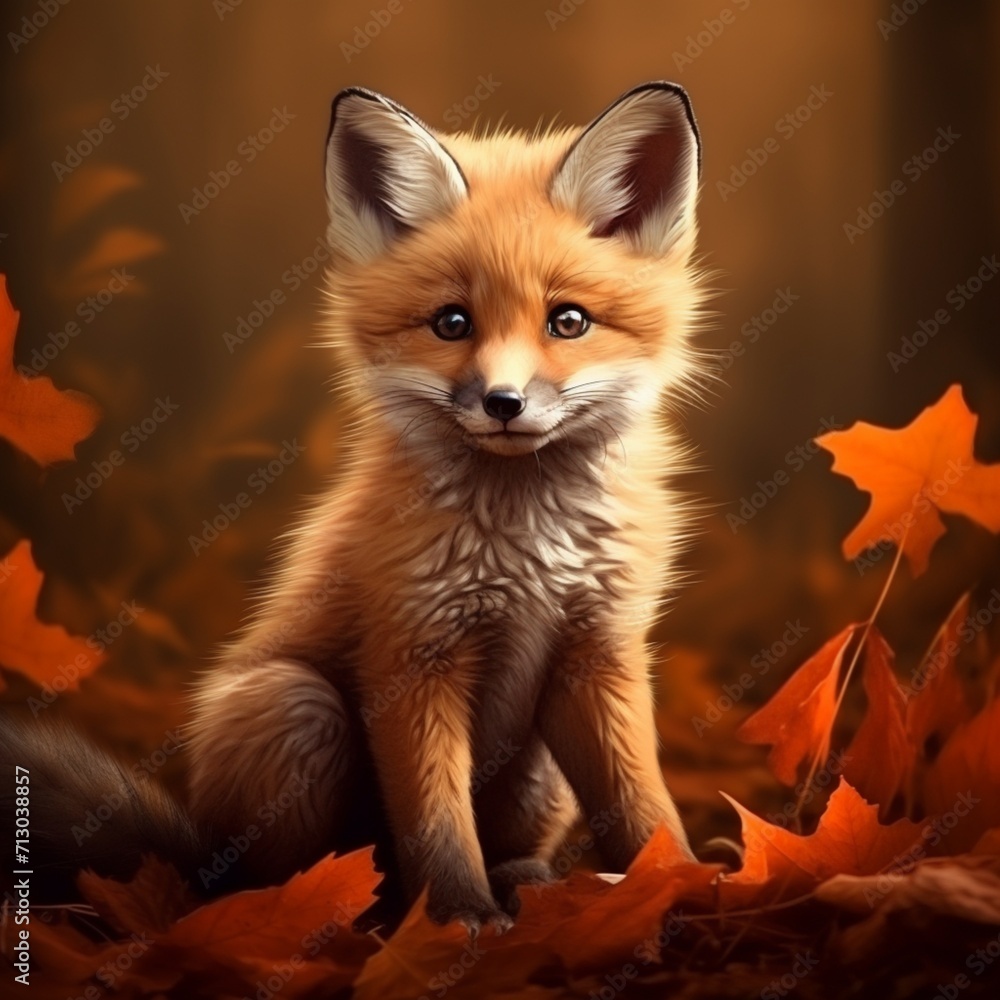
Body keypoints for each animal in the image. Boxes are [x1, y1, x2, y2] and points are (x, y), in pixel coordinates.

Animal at [1, 81, 705, 934]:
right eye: (451, 323)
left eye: (567, 321)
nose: (503, 403)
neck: (527, 545)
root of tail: (199, 855)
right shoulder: (410, 657)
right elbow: (435, 821)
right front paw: (460, 919)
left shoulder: (600, 652)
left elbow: (642, 805)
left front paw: (687, 886)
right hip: (295, 709)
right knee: (285, 881)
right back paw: (341, 917)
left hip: (538, 771)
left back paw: (523, 883)